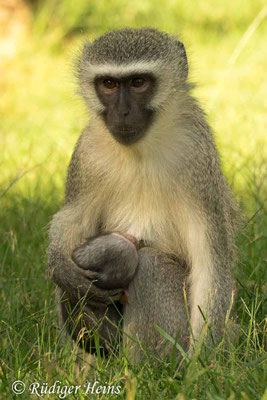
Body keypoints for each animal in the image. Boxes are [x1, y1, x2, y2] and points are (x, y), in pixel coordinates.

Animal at [47, 28, 241, 358]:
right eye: (109, 84)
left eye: (138, 82)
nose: (122, 112)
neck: (141, 149)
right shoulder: (86, 154)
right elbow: (73, 219)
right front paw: (60, 263)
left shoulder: (197, 155)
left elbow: (210, 265)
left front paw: (201, 364)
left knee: (149, 263)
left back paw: (147, 367)